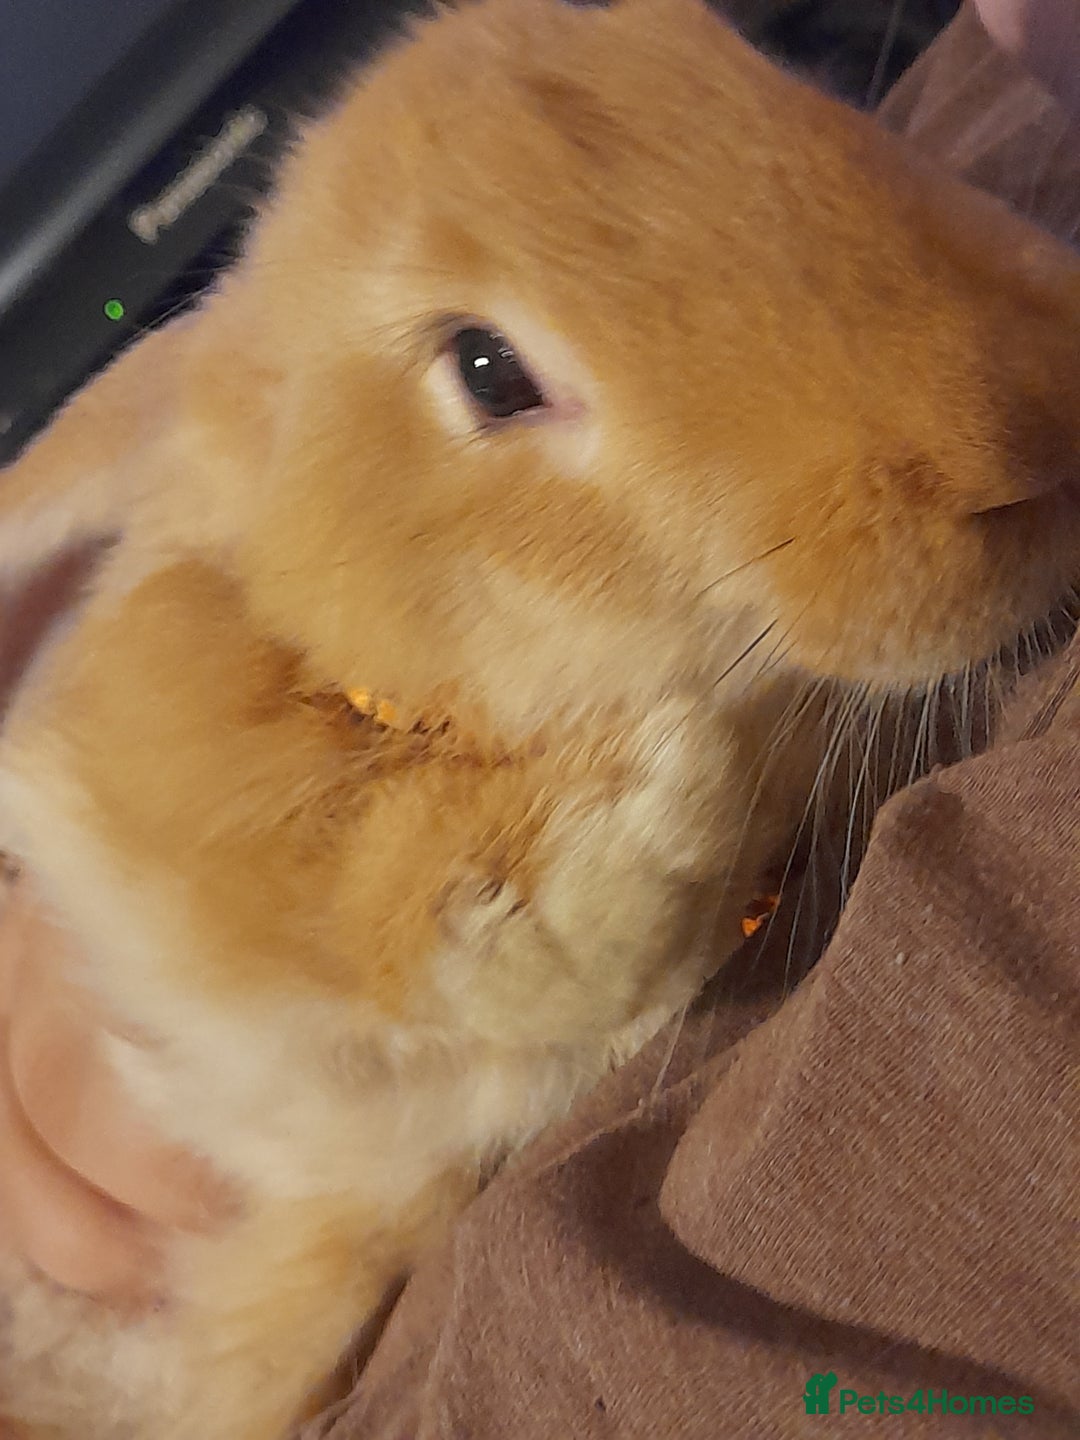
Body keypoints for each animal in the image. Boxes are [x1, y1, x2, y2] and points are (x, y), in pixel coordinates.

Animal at [1, 0, 1079, 1435]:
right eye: (487, 370)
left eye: (747, 60)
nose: (1039, 437)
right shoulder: (164, 831)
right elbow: (360, 895)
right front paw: (657, 810)